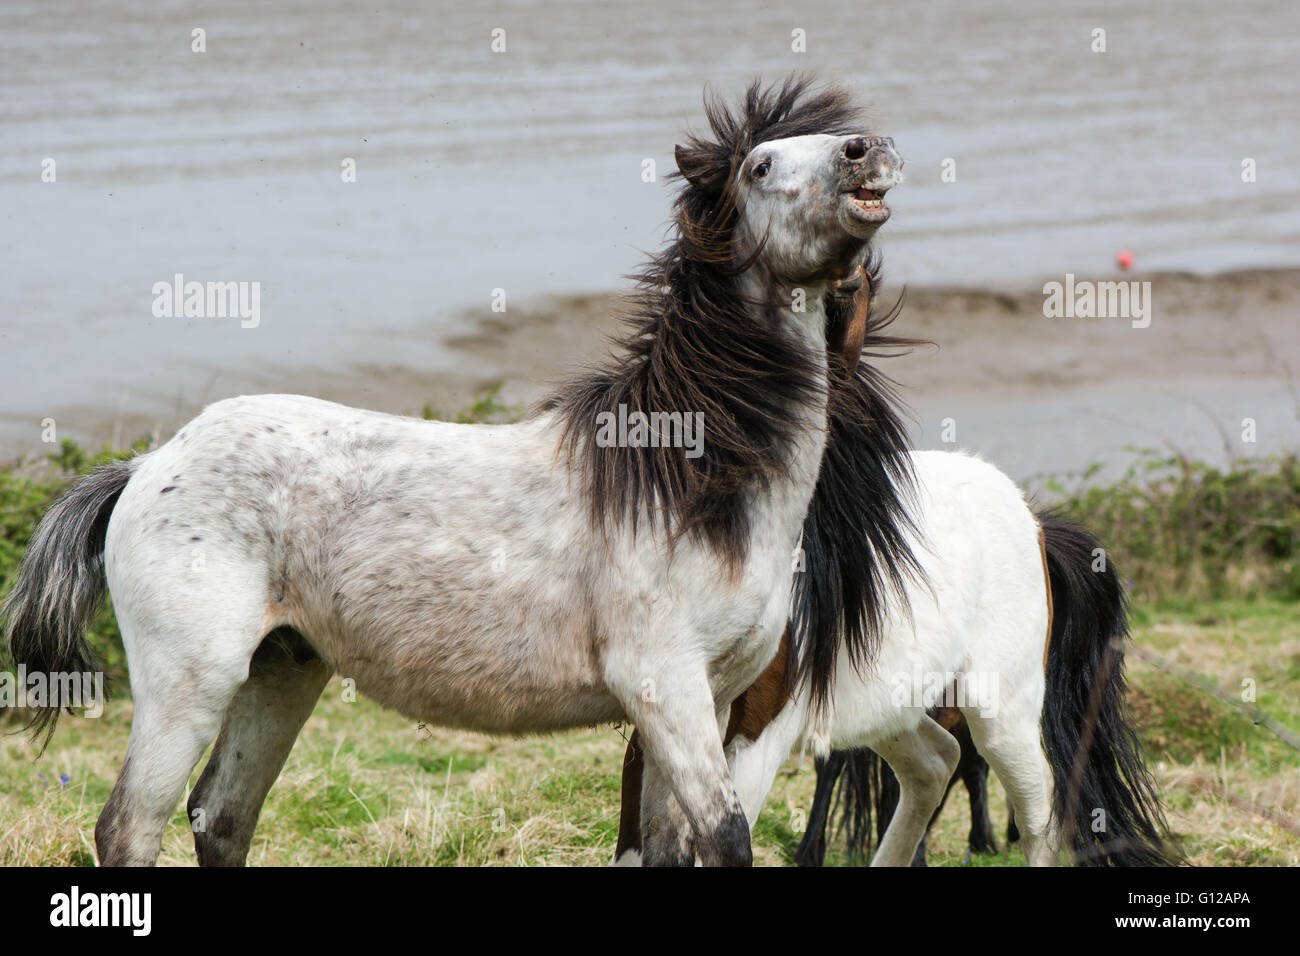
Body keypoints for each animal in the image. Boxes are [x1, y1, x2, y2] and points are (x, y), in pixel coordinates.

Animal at [2, 76, 906, 867]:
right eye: (761, 167)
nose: (868, 152)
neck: (685, 485)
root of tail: (146, 466)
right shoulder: (667, 692)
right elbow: (724, 838)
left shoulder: (708, 700)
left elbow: (670, 847)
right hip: (189, 684)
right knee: (130, 828)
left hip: (282, 670)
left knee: (221, 816)